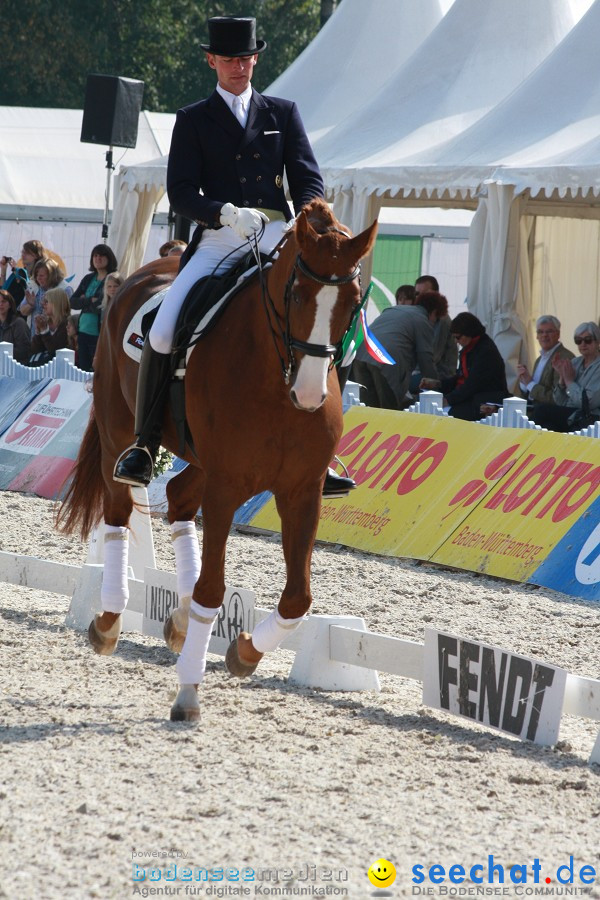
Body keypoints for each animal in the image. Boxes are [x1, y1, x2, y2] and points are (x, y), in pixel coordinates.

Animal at [56, 200, 376, 720]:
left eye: (352, 300)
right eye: (296, 293)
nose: (310, 395)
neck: (275, 379)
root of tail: (141, 274)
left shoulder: (301, 490)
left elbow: (298, 599)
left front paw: (243, 652)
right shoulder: (227, 486)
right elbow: (213, 590)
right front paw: (189, 691)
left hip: (202, 462)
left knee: (179, 497)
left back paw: (180, 621)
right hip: (118, 428)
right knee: (119, 510)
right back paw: (108, 620)